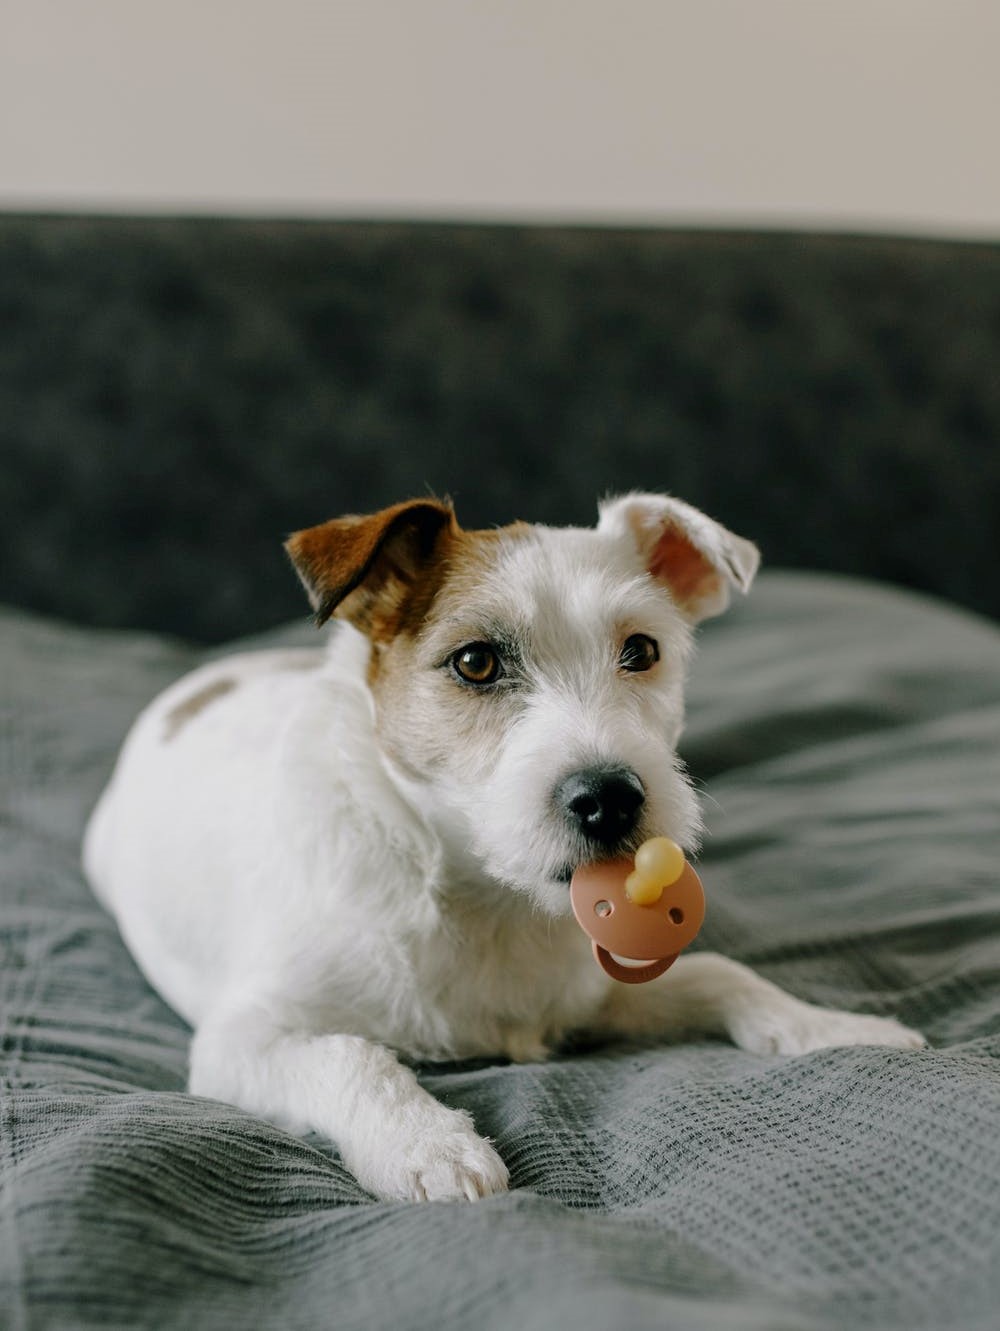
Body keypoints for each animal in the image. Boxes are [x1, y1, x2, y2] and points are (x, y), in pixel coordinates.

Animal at [84, 495, 921, 1203]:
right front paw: (425, 1144)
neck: (480, 897)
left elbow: (724, 973)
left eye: (641, 649)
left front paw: (834, 1028)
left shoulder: (597, 991)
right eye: (476, 661)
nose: (611, 797)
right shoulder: (241, 1040)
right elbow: (349, 1055)